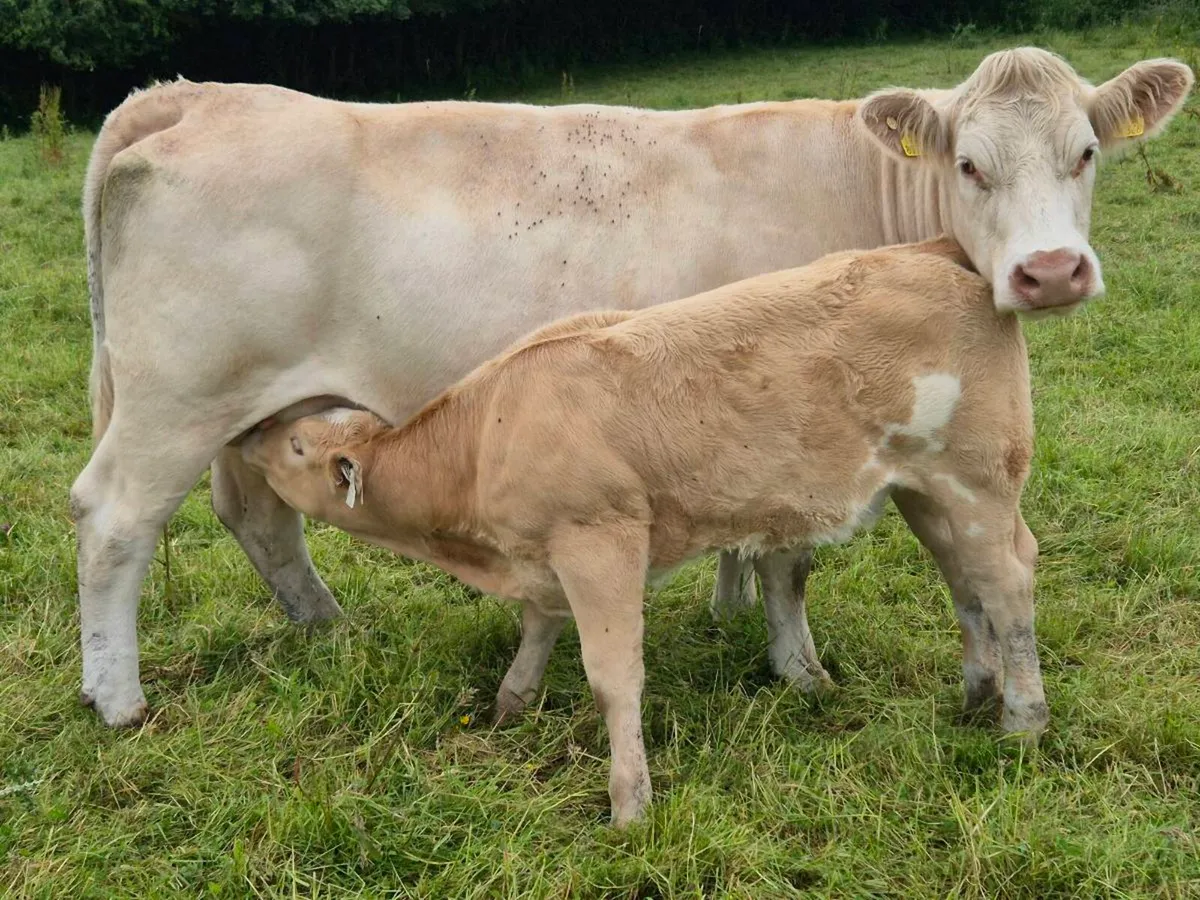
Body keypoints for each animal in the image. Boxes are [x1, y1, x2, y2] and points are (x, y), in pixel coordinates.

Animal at [71, 48, 1193, 727]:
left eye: (1086, 152)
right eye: (967, 165)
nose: (1050, 272)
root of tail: (204, 95)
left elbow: (753, 545)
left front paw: (731, 611)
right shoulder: (801, 413)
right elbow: (792, 562)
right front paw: (797, 667)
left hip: (255, 408)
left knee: (257, 514)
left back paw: (331, 630)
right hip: (176, 398)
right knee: (115, 523)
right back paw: (117, 699)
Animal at [240, 238, 1051, 825]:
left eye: (297, 446)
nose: (248, 436)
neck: (485, 436)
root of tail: (939, 254)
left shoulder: (600, 541)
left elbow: (613, 678)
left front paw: (630, 805)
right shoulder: (543, 553)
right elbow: (535, 631)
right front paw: (508, 706)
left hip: (980, 478)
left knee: (1008, 585)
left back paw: (1023, 721)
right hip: (925, 491)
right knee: (966, 583)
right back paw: (977, 694)